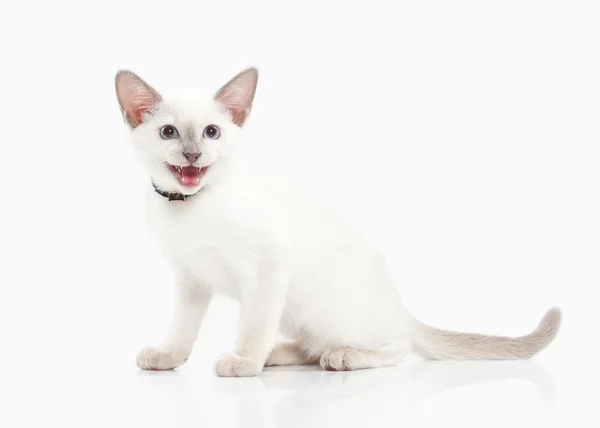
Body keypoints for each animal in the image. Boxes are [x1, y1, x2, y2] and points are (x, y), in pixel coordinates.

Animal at [115, 65, 560, 376]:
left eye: (211, 132)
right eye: (169, 133)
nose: (192, 155)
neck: (190, 206)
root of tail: (401, 307)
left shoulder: (267, 269)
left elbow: (254, 326)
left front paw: (243, 362)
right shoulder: (190, 278)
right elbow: (182, 327)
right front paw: (168, 356)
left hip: (319, 308)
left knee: (396, 347)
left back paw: (339, 357)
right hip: (297, 314)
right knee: (313, 346)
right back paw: (283, 354)